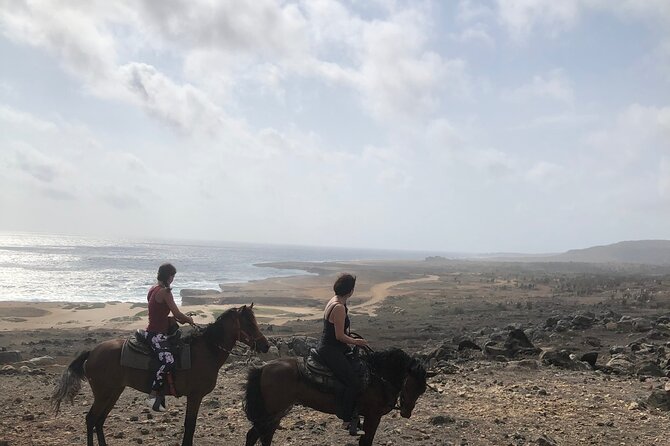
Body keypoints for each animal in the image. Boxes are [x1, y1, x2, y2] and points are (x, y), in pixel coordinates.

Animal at [53, 304, 270, 446]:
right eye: (249, 323)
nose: (265, 345)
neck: (205, 351)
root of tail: (92, 352)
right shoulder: (195, 396)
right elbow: (189, 426)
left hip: (113, 392)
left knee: (99, 420)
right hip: (104, 393)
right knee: (91, 419)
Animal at [244, 348, 428, 446]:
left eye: (423, 390)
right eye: (410, 385)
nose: (406, 412)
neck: (377, 377)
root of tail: (263, 368)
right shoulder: (373, 416)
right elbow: (366, 441)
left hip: (276, 413)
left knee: (261, 436)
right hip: (272, 413)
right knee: (257, 435)